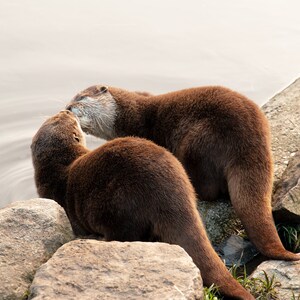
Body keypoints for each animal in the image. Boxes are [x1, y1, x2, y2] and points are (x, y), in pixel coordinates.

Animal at [31, 110, 255, 300]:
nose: (67, 111)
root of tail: (171, 195)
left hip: (121, 208)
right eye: (56, 117)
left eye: (67, 119)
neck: (58, 167)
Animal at [66, 84, 300, 260]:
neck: (129, 115)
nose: (68, 107)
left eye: (81, 98)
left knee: (209, 190)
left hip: (197, 142)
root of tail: (251, 140)